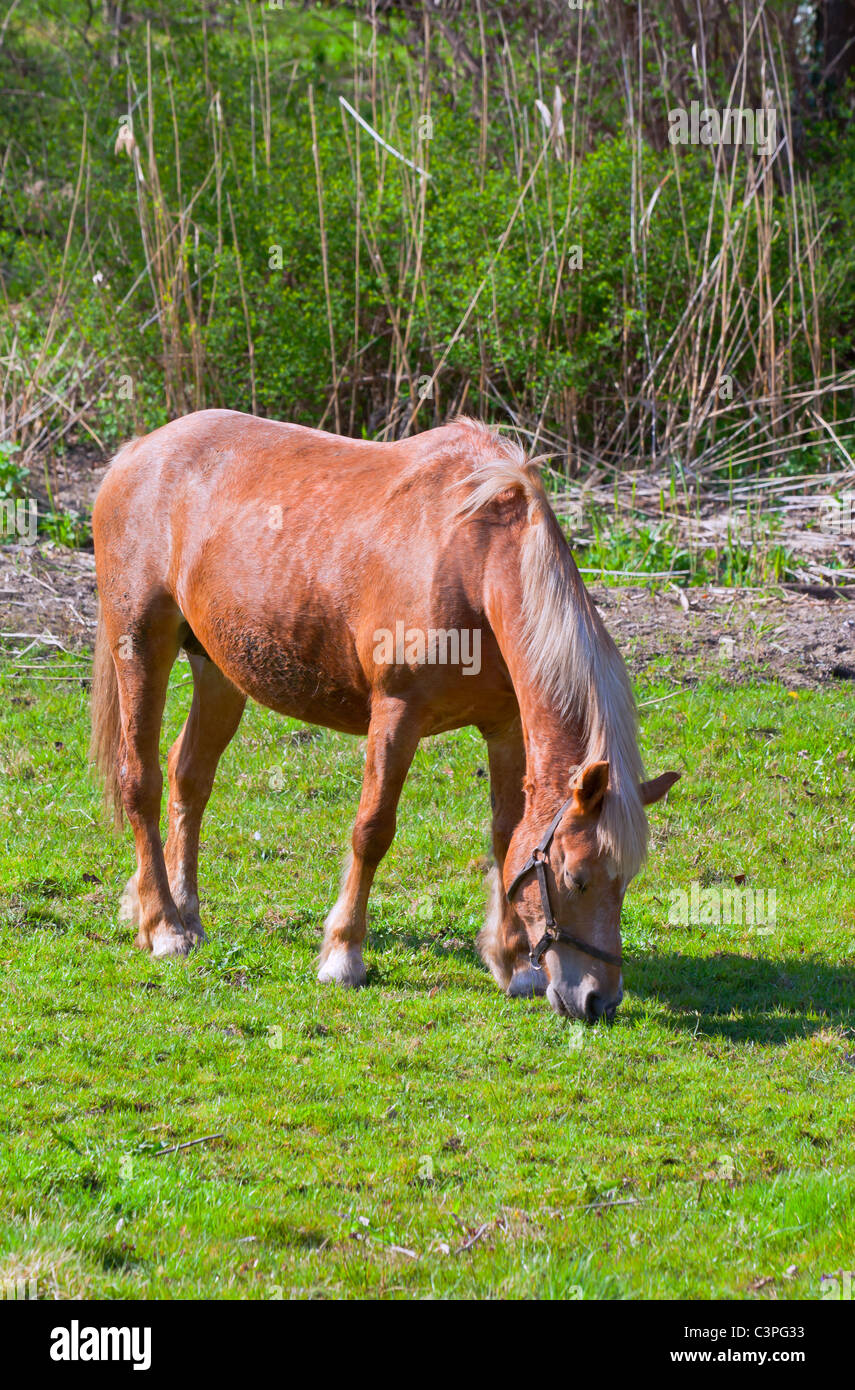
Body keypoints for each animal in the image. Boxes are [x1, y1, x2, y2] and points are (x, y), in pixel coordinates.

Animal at [90, 409, 679, 1022]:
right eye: (576, 878)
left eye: (624, 881)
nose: (598, 1000)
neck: (474, 562)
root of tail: (137, 452)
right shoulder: (397, 715)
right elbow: (372, 830)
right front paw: (343, 955)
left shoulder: (506, 729)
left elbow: (505, 835)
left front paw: (514, 964)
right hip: (142, 648)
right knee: (141, 782)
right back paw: (163, 927)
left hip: (219, 670)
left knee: (189, 777)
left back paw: (183, 912)